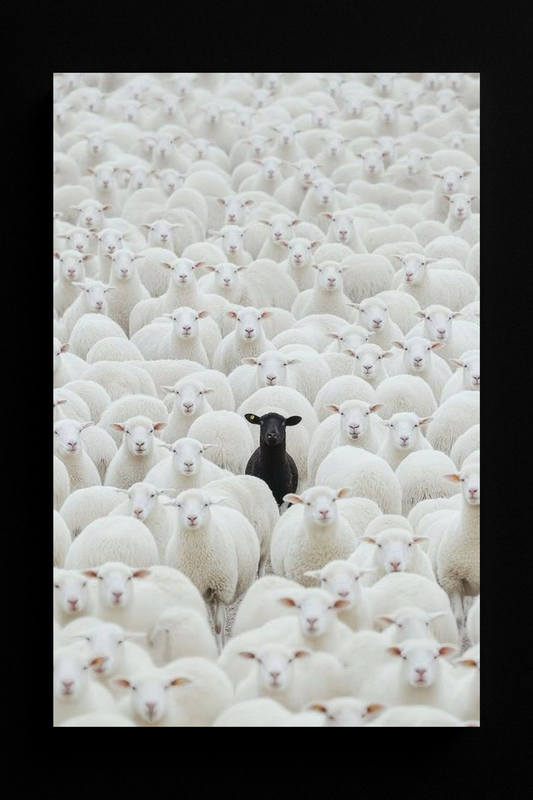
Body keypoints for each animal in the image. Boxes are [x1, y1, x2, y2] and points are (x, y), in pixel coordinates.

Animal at [165, 488, 259, 647]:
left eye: (205, 504)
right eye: (179, 505)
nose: (192, 518)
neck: (198, 561)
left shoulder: (222, 589)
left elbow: (218, 626)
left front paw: (220, 648)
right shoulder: (200, 589)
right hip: (209, 594)